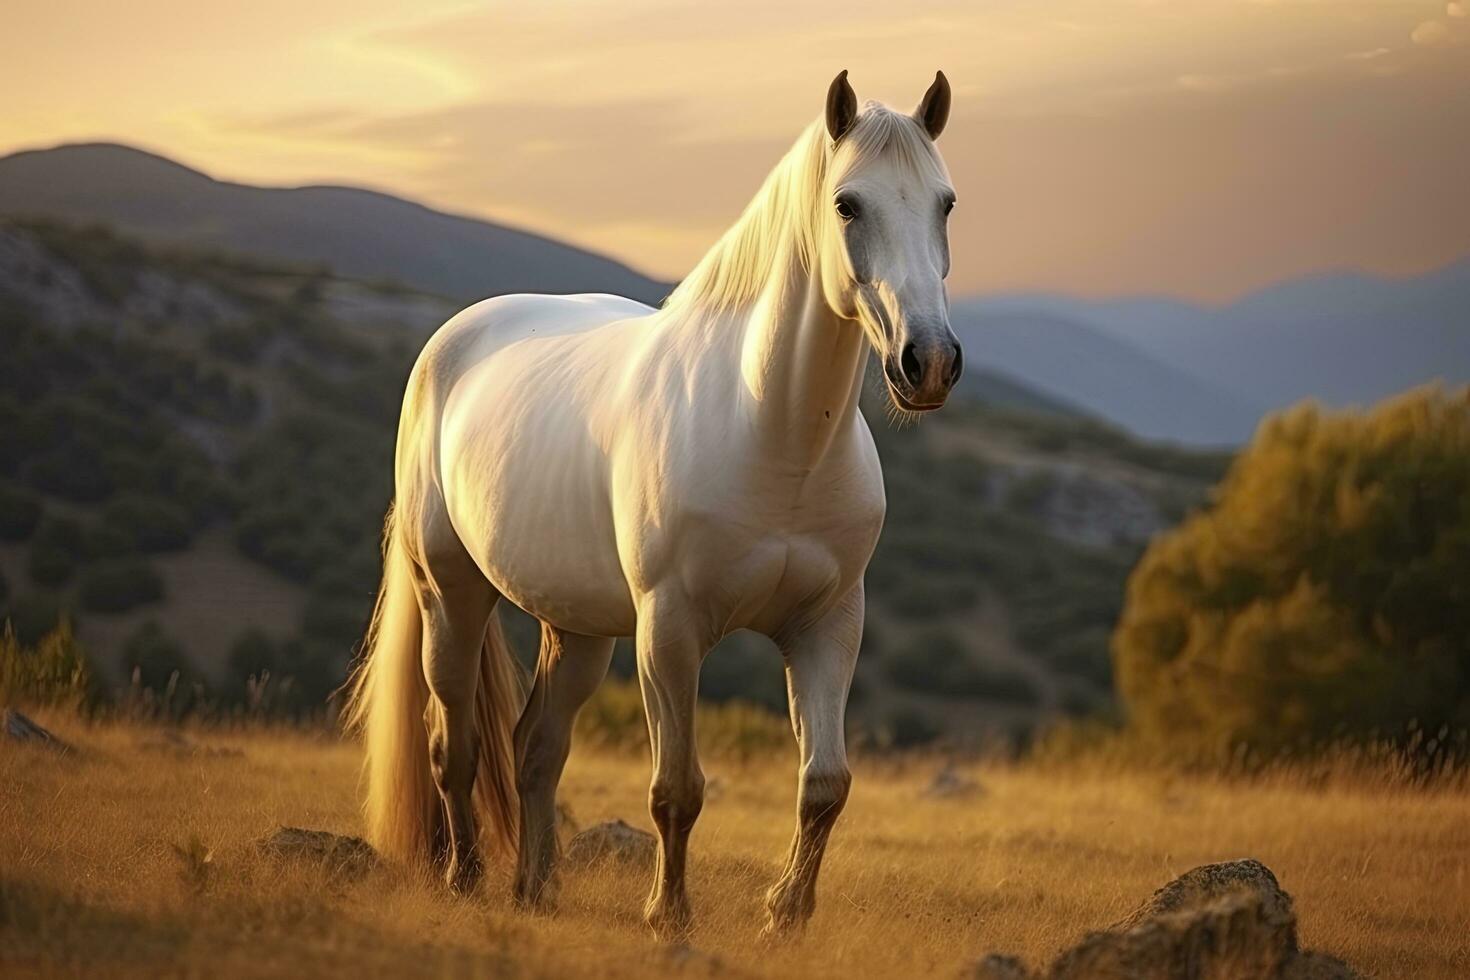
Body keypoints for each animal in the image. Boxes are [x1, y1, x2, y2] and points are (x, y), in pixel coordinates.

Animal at [346, 70, 964, 940]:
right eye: (848, 204)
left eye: (945, 202)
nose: (929, 362)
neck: (770, 431)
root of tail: (453, 340)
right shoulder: (669, 632)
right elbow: (677, 790)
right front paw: (669, 915)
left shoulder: (828, 625)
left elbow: (825, 785)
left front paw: (785, 916)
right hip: (452, 597)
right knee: (455, 746)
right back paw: (464, 877)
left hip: (576, 628)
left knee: (537, 748)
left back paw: (536, 888)